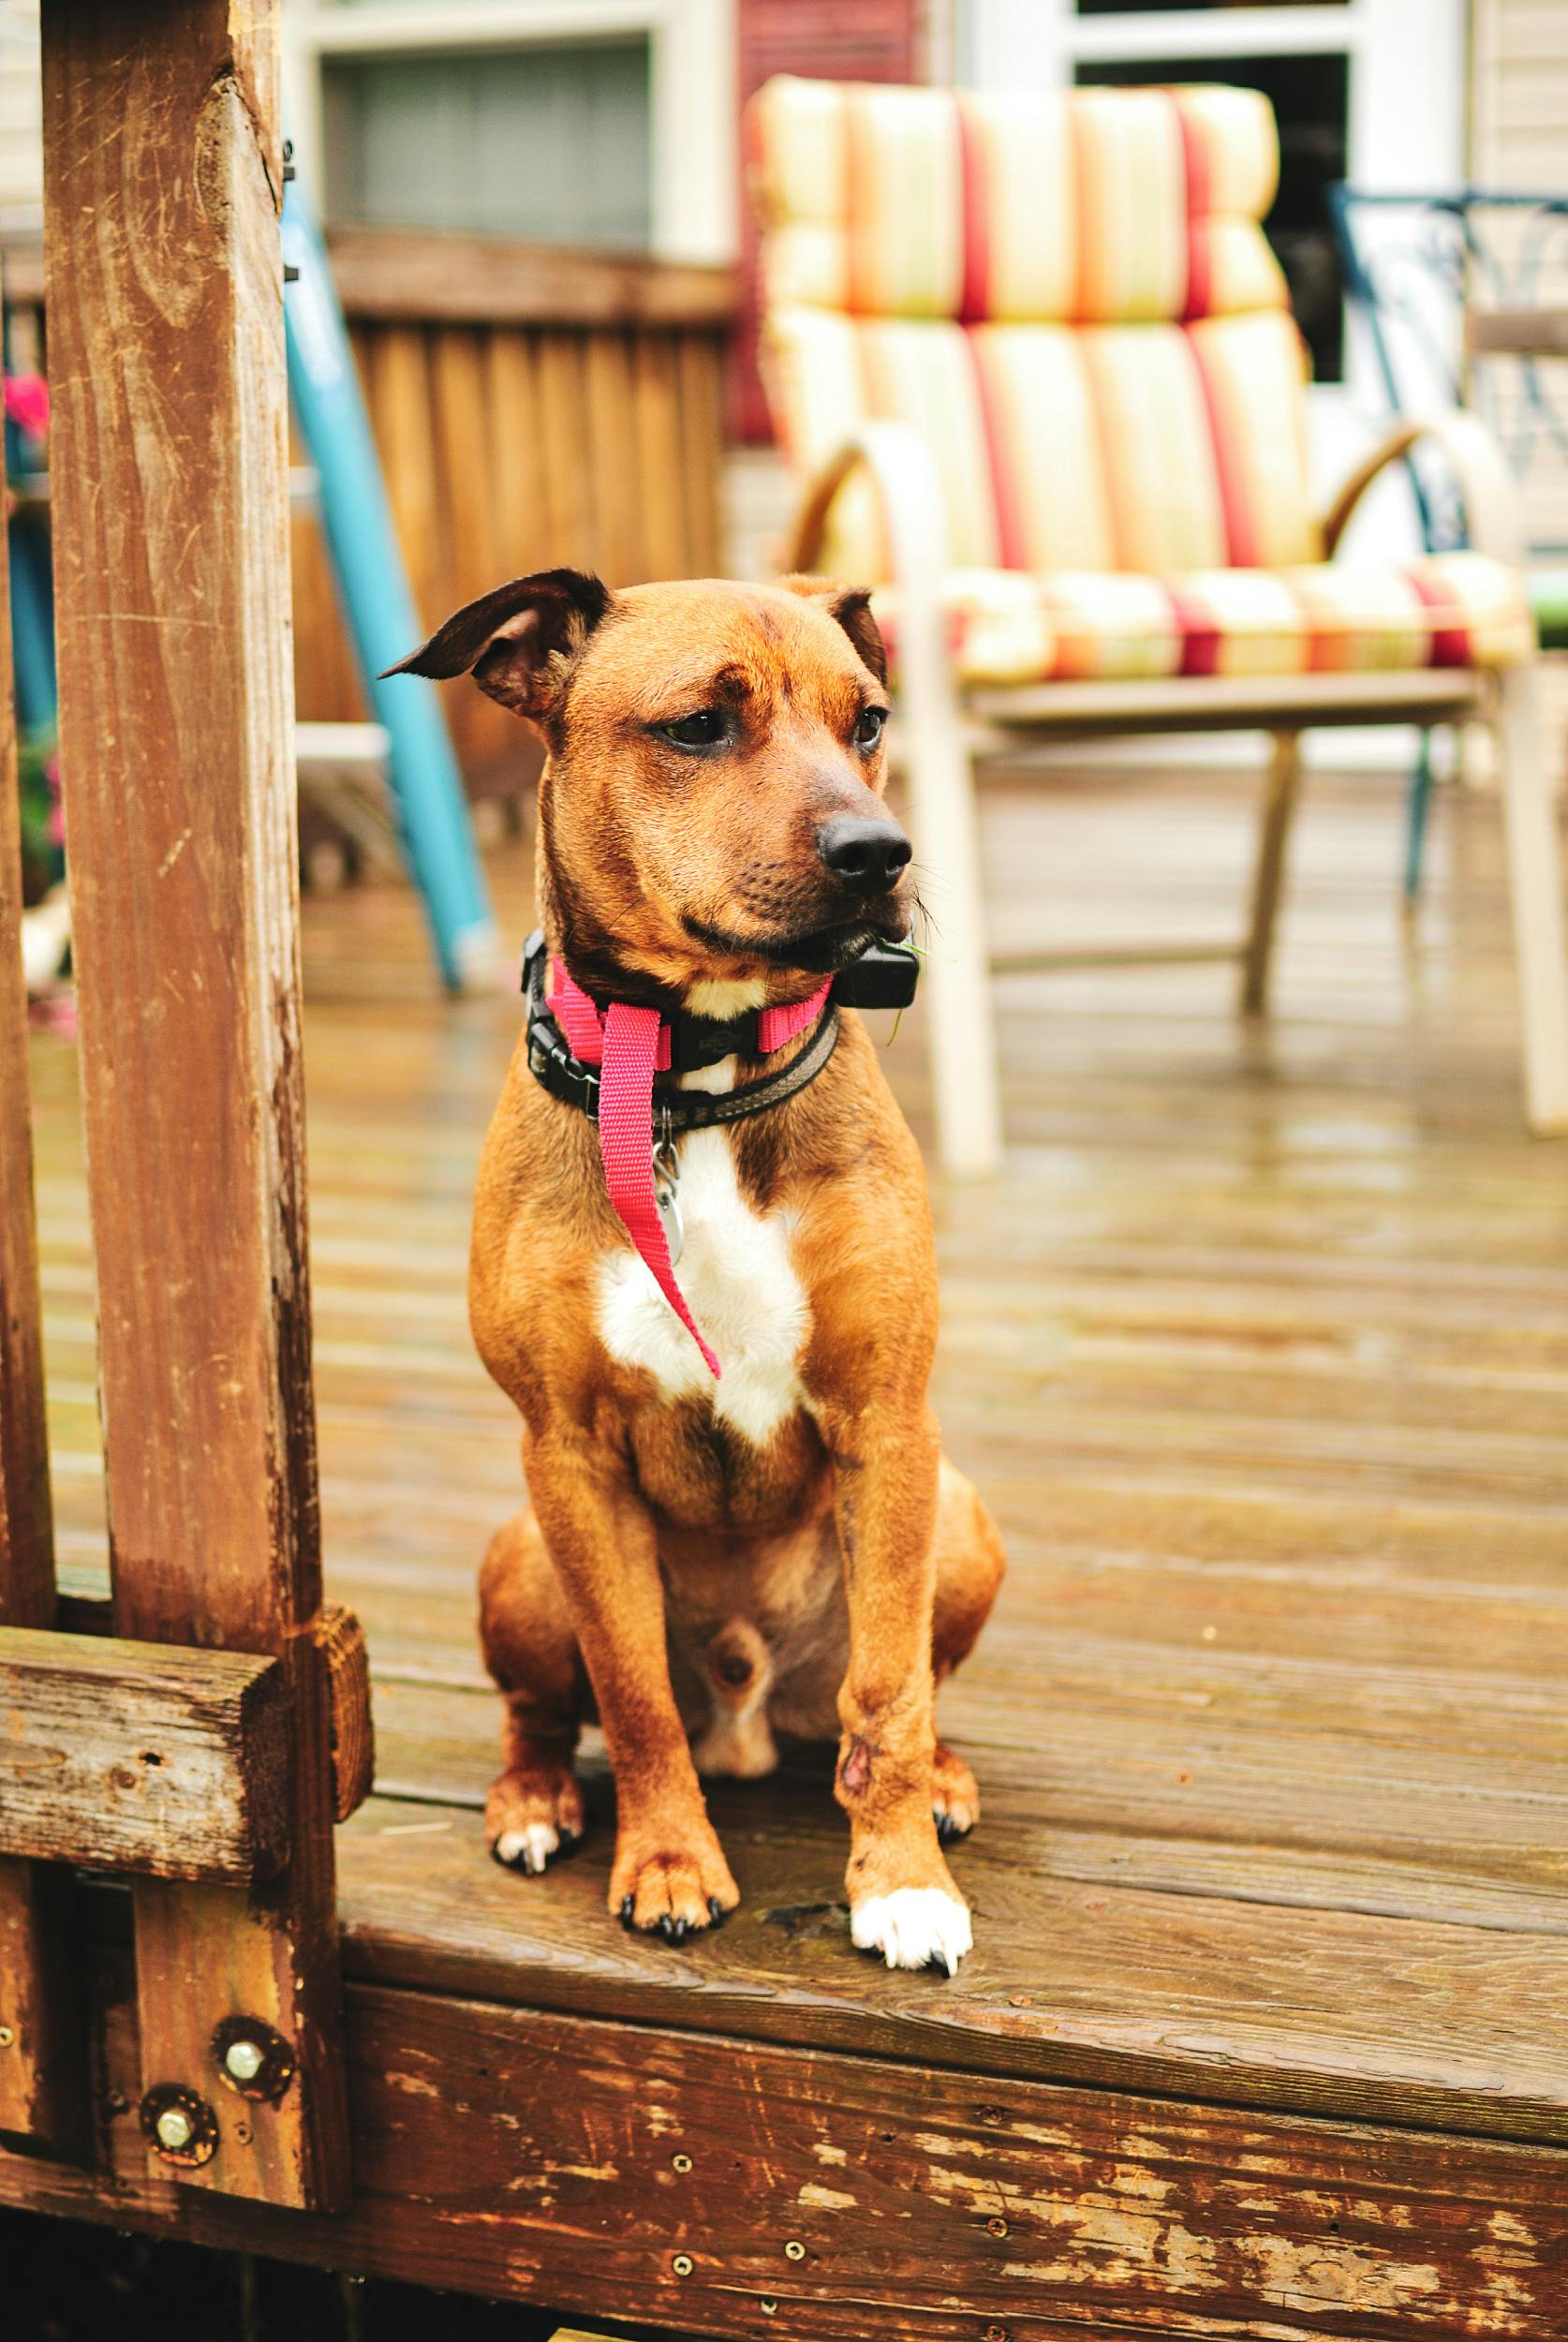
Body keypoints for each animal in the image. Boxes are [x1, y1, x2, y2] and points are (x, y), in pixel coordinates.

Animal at [391, 571, 1006, 1977]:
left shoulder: (889, 1424)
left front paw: (900, 1881)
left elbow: (887, 1688)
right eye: (695, 727)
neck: (692, 1078)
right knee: (544, 1708)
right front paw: (667, 1861)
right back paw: (534, 1799)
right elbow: (628, 1694)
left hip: (957, 1518)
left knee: (903, 1688)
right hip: (521, 1552)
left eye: (869, 720)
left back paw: (942, 1778)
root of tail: (749, 1708)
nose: (880, 854)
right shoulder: (567, 1453)